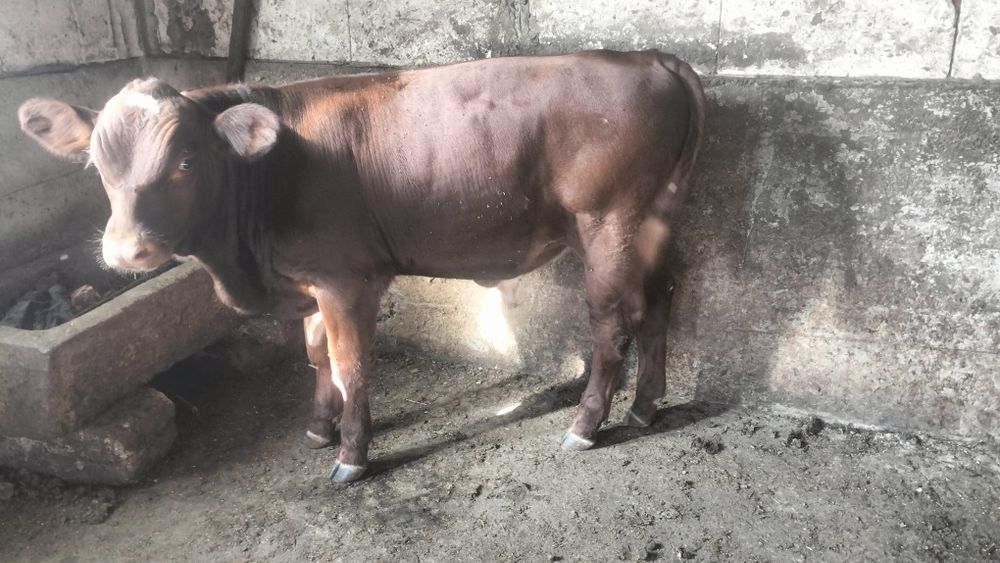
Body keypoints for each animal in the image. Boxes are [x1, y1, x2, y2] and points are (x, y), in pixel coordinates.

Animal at [18, 49, 705, 482]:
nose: (125, 249)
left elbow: (350, 365)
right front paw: (320, 427)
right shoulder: (310, 279)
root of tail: (650, 57)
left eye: (186, 161)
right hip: (651, 223)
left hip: (607, 223)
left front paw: (352, 453)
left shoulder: (347, 280)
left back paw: (588, 424)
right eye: (96, 164)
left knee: (612, 323)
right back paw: (645, 408)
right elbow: (316, 355)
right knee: (661, 301)